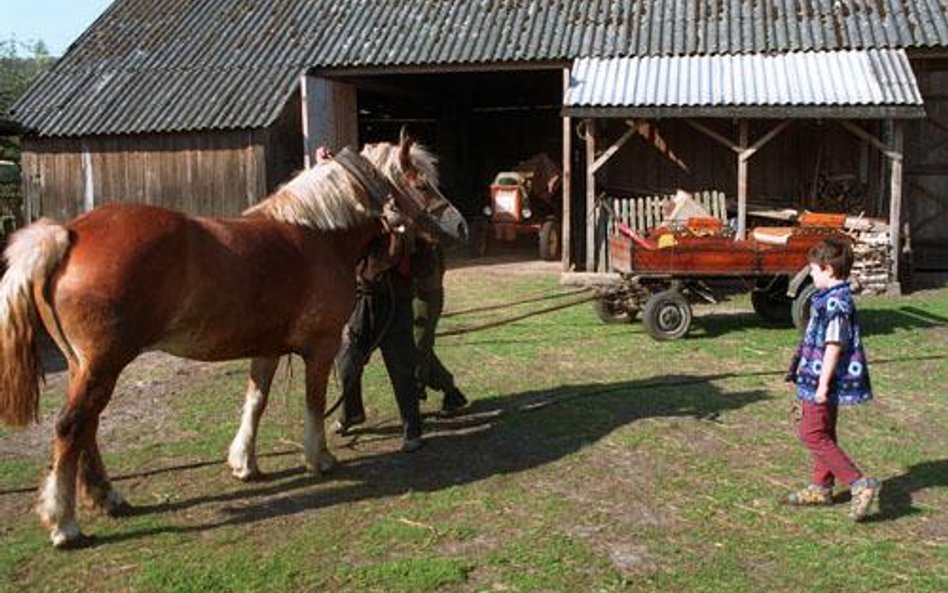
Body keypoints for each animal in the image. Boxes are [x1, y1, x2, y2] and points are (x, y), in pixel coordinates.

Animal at [0, 136, 462, 548]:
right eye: (422, 184)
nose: (459, 223)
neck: (317, 234)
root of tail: (67, 234)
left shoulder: (268, 348)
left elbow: (255, 402)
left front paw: (244, 464)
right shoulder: (321, 347)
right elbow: (312, 402)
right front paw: (320, 458)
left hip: (86, 366)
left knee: (88, 428)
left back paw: (109, 498)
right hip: (102, 366)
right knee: (71, 427)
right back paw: (65, 524)